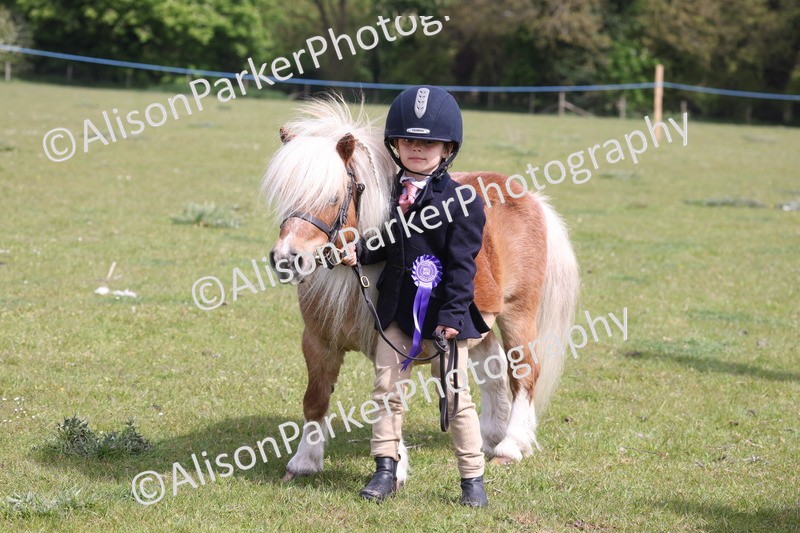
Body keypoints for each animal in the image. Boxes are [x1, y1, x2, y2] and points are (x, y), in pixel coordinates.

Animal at [260, 95, 579, 485]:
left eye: (334, 196)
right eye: (285, 195)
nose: (286, 259)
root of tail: (529, 196)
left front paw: (394, 469)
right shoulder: (318, 342)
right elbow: (316, 398)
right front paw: (304, 461)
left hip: (517, 313)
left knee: (524, 371)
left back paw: (511, 446)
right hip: (473, 324)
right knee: (491, 370)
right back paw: (490, 438)